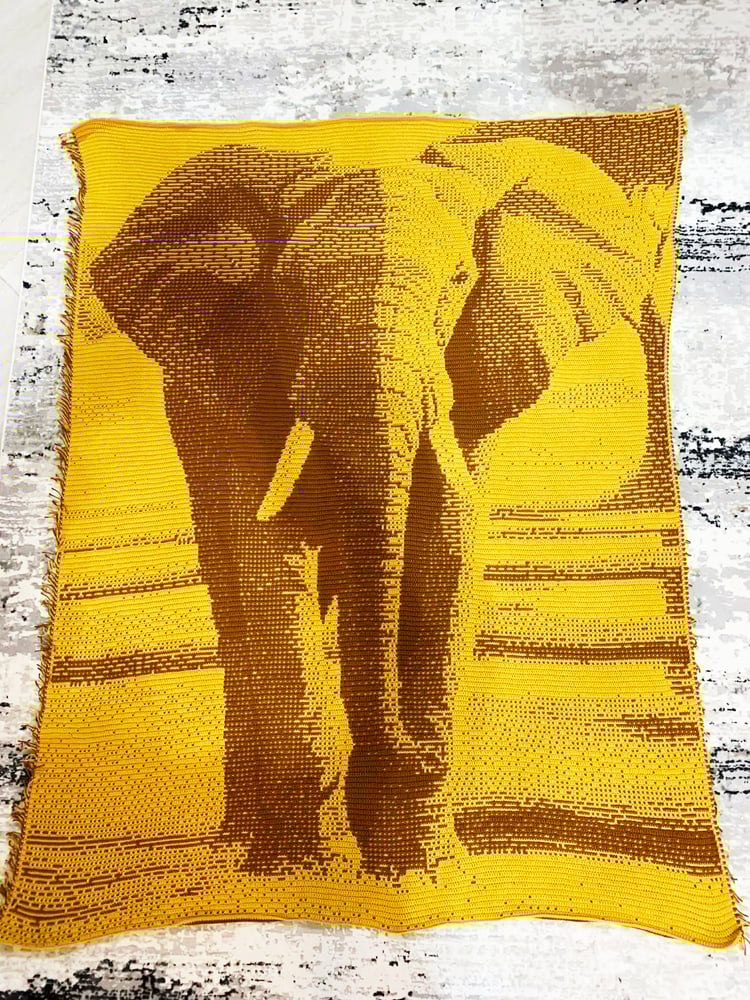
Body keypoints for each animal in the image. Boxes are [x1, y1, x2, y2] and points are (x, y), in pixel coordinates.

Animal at [88, 133, 665, 878]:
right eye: (289, 290)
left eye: (458, 283)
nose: (416, 749)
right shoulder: (236, 378)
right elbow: (270, 558)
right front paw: (298, 876)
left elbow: (447, 545)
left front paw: (422, 869)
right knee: (235, 601)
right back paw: (240, 842)